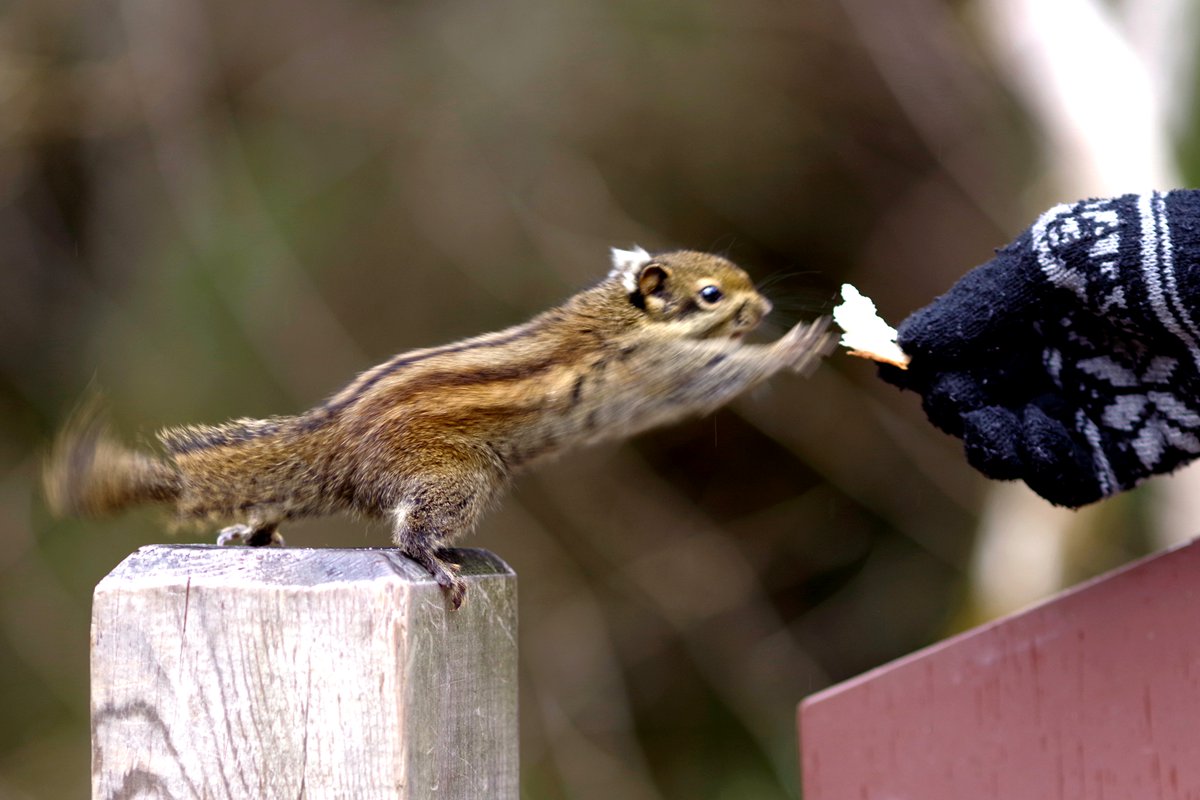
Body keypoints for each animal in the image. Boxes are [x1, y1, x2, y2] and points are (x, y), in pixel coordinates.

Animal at [46, 248, 835, 606]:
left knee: (281, 501)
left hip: (331, 485)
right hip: (460, 479)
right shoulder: (663, 369)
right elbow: (718, 374)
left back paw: (250, 533)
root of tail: (334, 432)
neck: (625, 316)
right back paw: (435, 562)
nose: (765, 308)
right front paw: (793, 348)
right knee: (408, 533)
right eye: (712, 293)